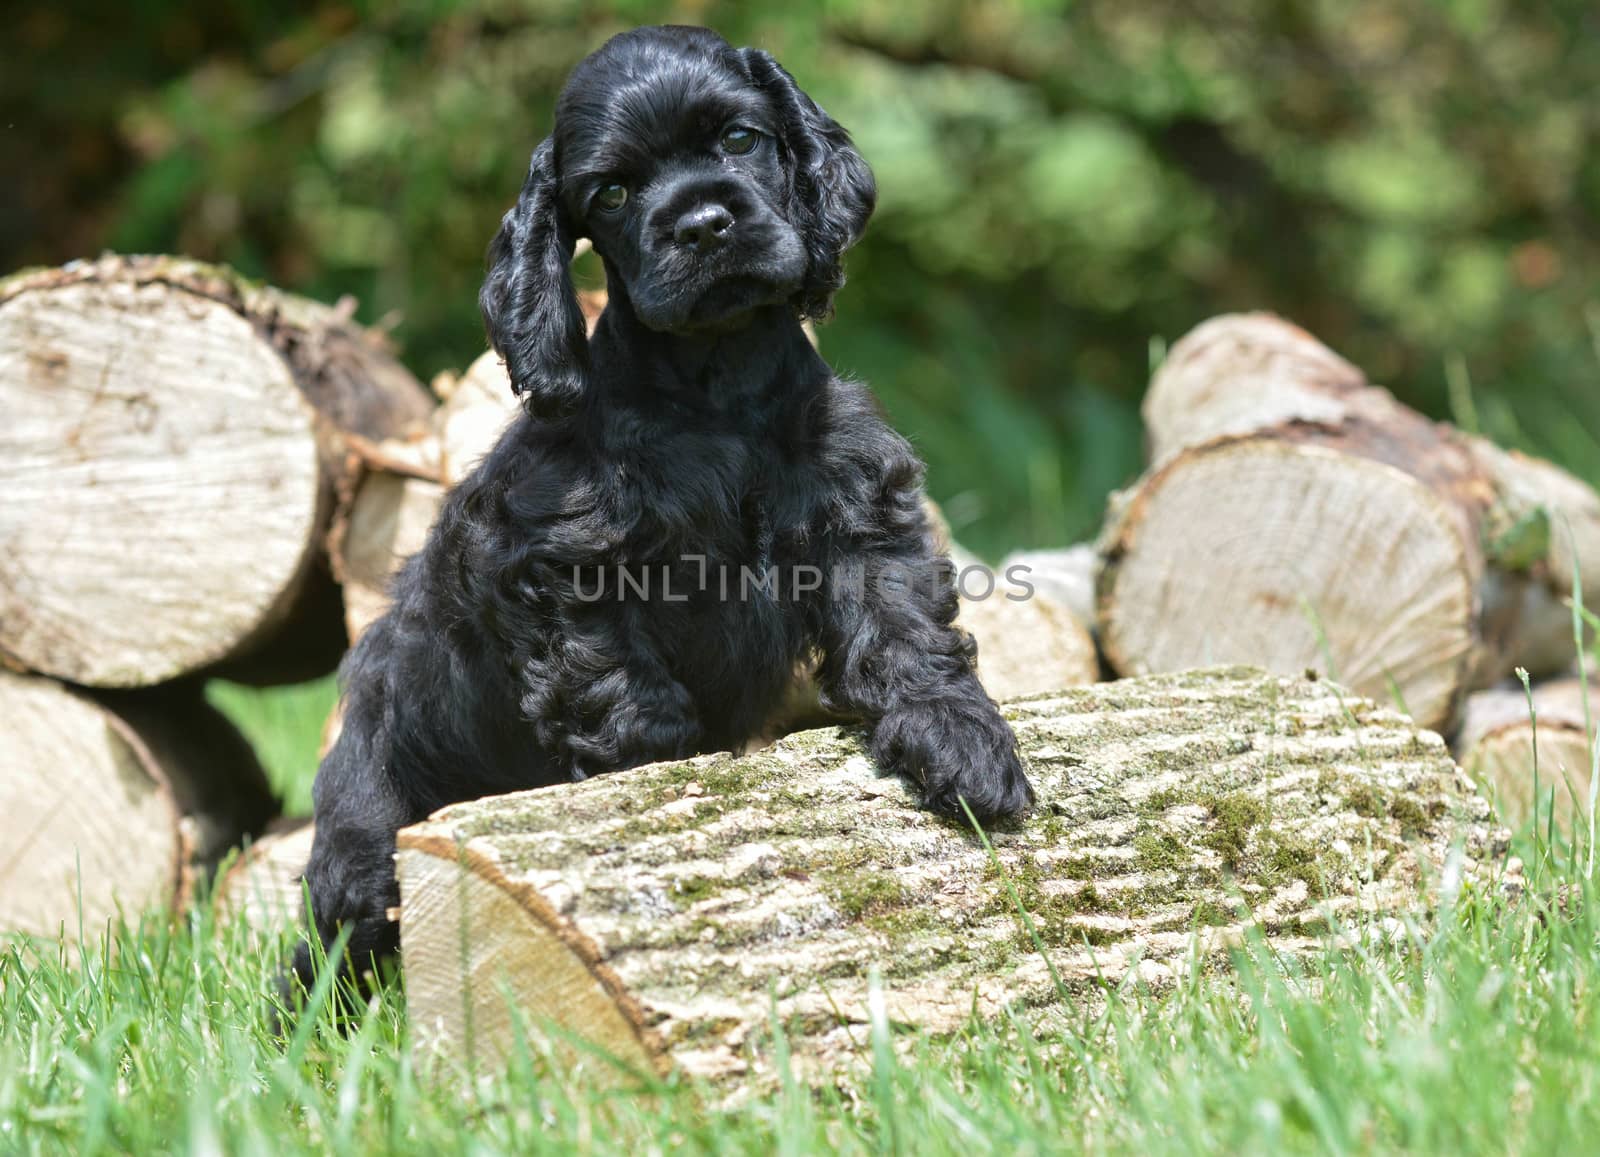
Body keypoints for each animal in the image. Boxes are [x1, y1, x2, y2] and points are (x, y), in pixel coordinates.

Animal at [292, 22, 1030, 992]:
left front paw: (961, 740)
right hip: (369, 841)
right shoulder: (561, 560)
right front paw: (654, 797)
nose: (704, 224)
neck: (715, 382)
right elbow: (623, 696)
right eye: (610, 191)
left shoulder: (859, 502)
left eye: (741, 139)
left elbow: (903, 625)